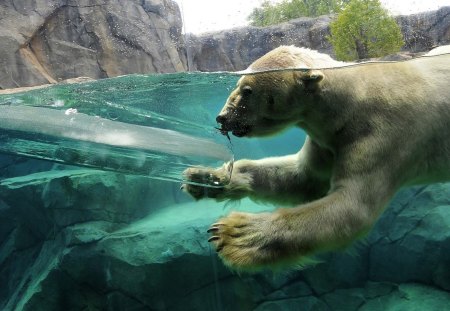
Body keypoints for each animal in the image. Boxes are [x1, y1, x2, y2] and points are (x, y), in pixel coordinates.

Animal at [183, 45, 450, 270]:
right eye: (238, 84)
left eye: (247, 90)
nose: (222, 117)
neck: (351, 103)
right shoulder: (327, 140)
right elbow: (302, 177)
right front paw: (204, 177)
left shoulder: (381, 135)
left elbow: (352, 206)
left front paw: (235, 233)